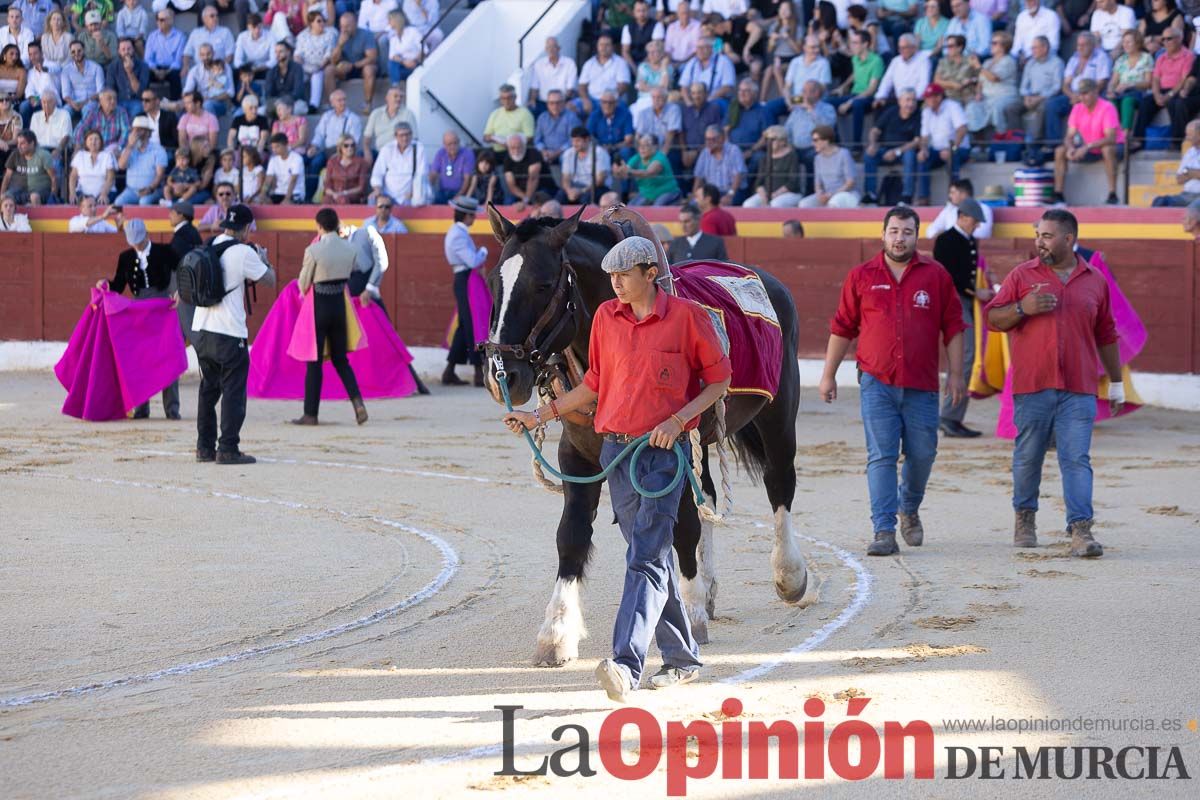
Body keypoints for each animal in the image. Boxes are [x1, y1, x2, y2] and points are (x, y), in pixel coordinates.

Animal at [477, 203, 806, 666]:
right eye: (494, 282)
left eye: (542, 284)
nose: (500, 374)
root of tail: (762, 275)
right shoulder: (577, 456)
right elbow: (571, 535)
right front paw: (556, 632)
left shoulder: (671, 444)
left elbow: (681, 527)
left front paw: (690, 612)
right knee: (708, 494)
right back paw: (709, 589)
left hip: (778, 414)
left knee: (779, 484)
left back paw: (788, 575)